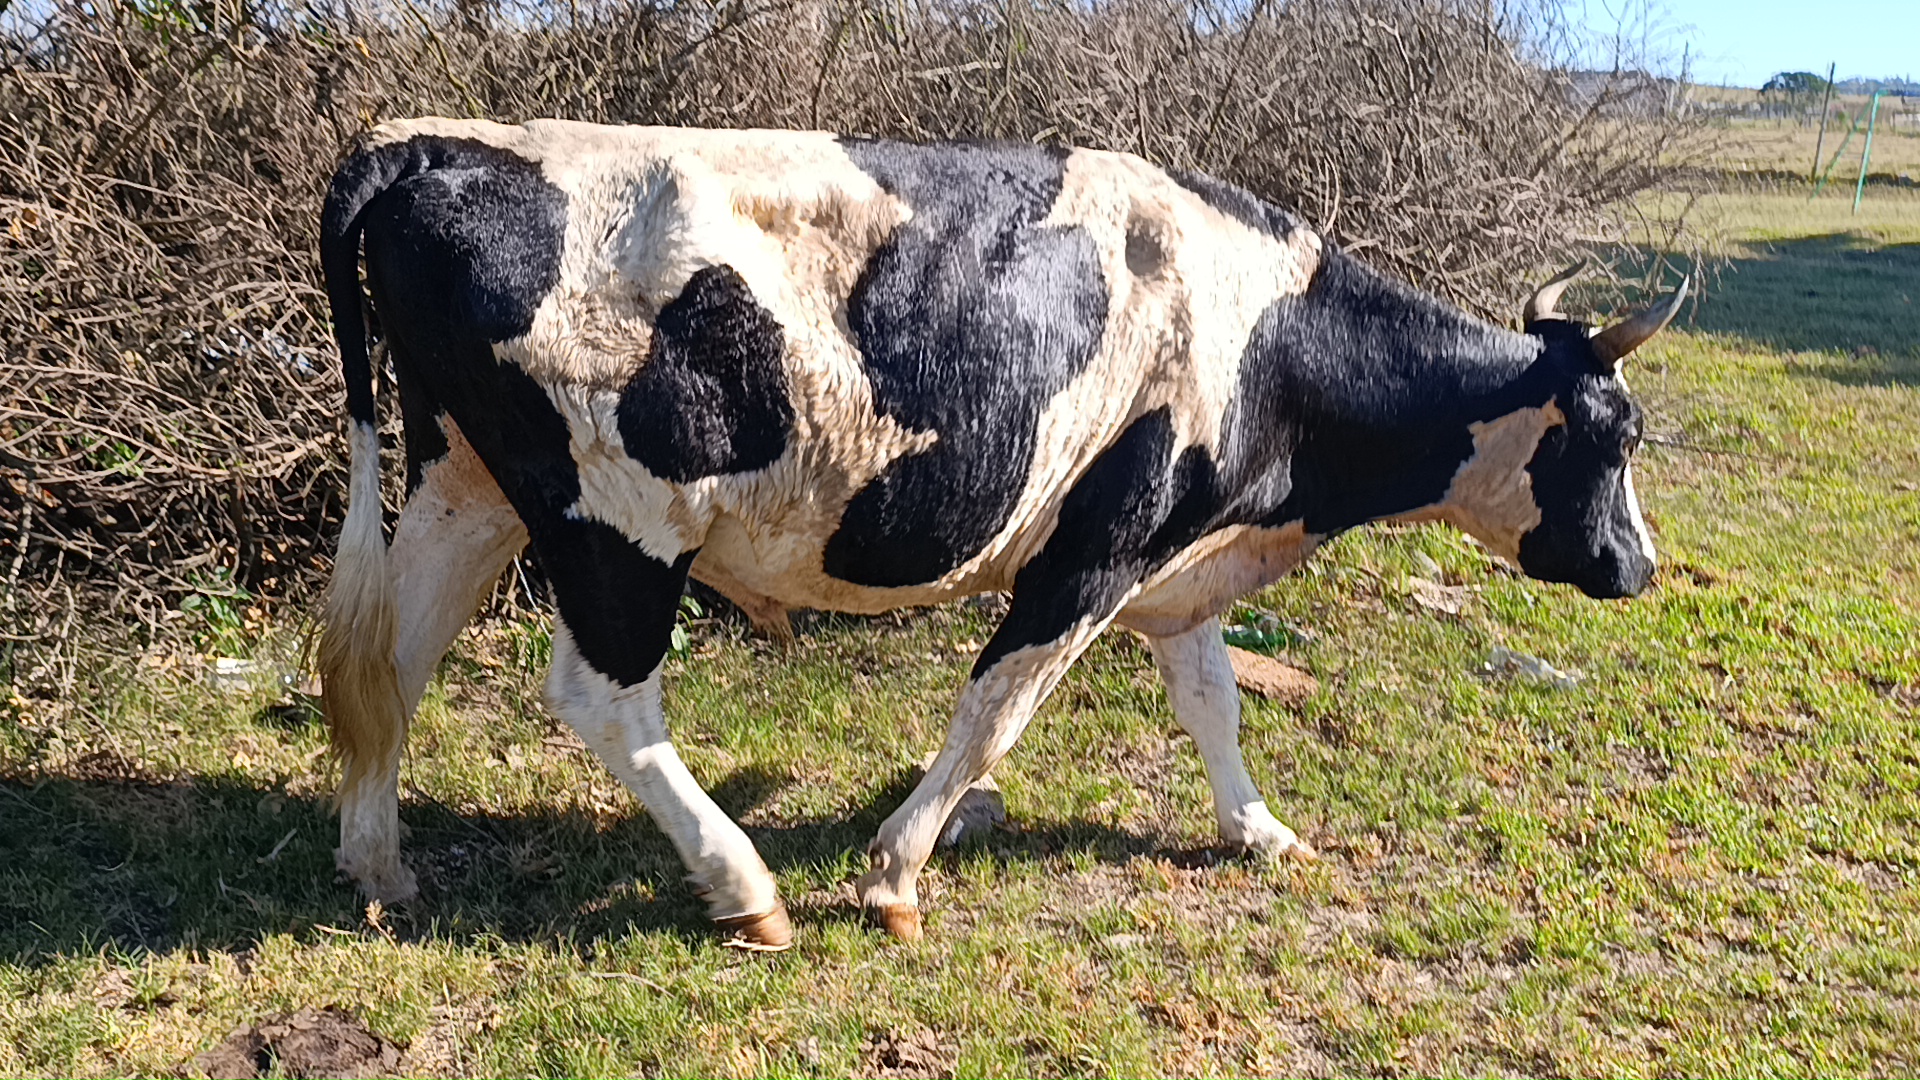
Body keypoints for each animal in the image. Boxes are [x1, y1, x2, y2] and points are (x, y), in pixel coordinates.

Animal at [317, 119, 1685, 951]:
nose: (1642, 568)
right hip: (619, 525)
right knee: (602, 700)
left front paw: (1258, 831)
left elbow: (1214, 702)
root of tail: (429, 143)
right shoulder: (1095, 551)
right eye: (1617, 434)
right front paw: (893, 874)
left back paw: (378, 866)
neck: (1273, 350)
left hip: (462, 485)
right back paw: (746, 887)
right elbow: (995, 714)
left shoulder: (1177, 564)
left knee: (392, 663)